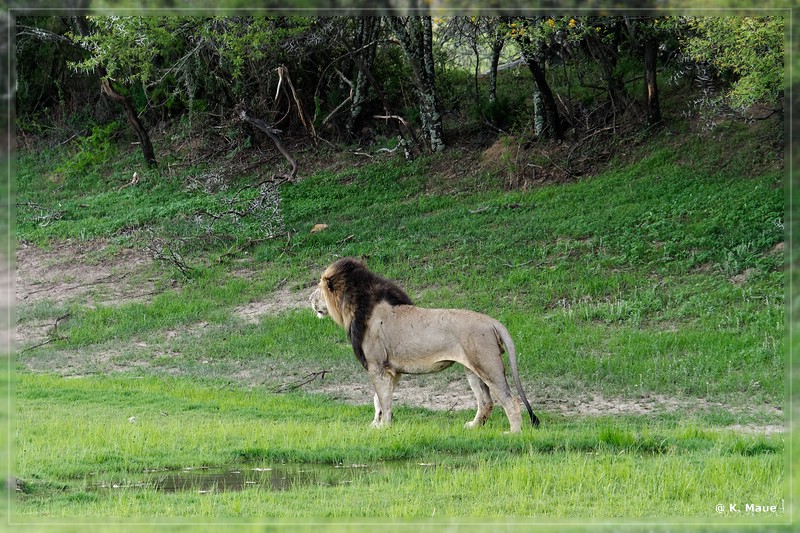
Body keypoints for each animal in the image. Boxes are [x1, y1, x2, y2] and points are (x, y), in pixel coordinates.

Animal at [310, 258, 540, 432]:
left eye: (319, 288)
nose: (310, 299)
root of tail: (493, 322)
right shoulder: (391, 370)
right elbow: (379, 400)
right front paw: (376, 424)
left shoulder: (378, 366)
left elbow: (383, 399)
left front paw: (384, 427)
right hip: (472, 369)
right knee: (486, 401)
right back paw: (473, 427)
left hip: (488, 366)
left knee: (511, 401)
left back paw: (513, 433)